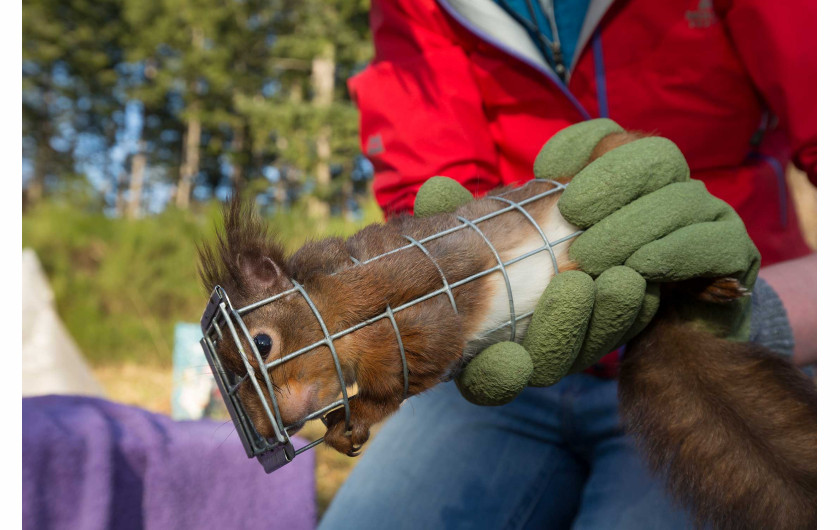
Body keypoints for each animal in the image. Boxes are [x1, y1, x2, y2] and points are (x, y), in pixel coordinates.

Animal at [197, 132, 812, 528]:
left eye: (261, 343)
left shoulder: (411, 279)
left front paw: (361, 413)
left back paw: (710, 277)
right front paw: (344, 431)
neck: (334, 318)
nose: (277, 428)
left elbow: (426, 354)